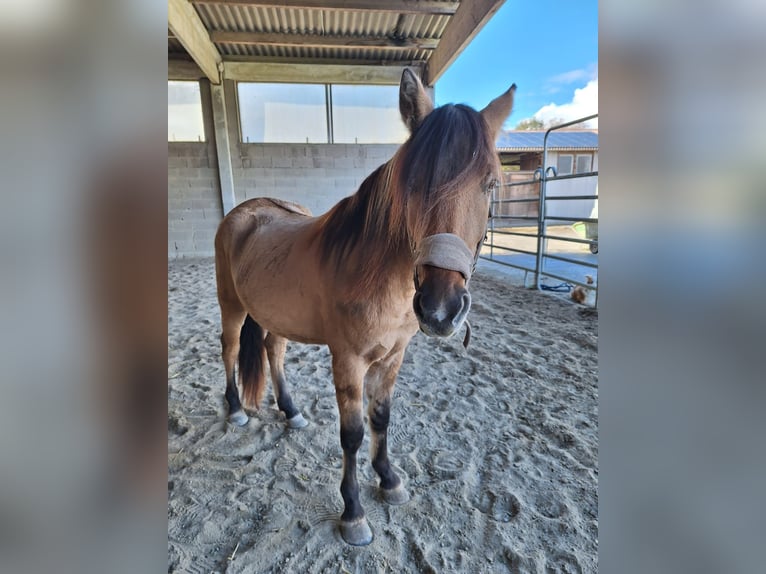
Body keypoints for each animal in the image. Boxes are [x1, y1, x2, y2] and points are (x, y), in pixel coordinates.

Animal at [214, 69, 515, 545]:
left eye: (490, 183)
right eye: (413, 182)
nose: (441, 308)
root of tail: (243, 213)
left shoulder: (393, 356)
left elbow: (382, 417)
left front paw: (389, 480)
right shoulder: (349, 359)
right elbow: (353, 433)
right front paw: (353, 512)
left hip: (273, 315)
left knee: (272, 350)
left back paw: (292, 411)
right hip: (231, 304)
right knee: (228, 348)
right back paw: (237, 410)